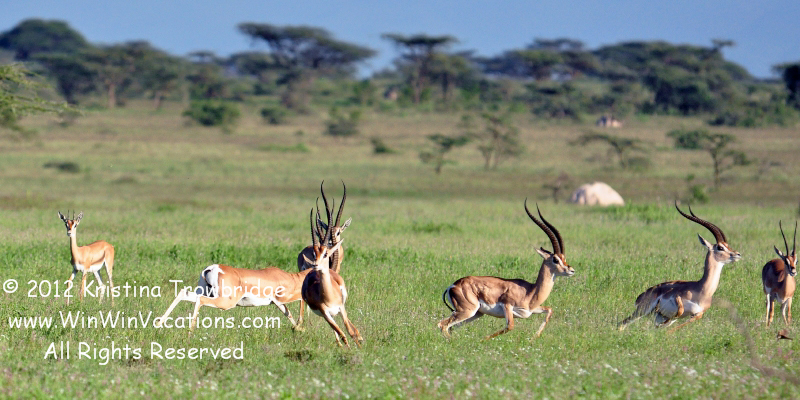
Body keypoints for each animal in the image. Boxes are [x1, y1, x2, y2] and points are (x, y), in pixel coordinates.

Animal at [154, 210, 324, 331]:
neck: (291, 278)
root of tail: (211, 268)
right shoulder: (285, 298)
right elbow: (300, 301)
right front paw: (301, 326)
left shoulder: (279, 303)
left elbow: (288, 314)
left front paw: (299, 329)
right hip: (224, 301)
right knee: (200, 300)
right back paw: (190, 332)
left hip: (204, 291)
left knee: (185, 293)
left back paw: (159, 323)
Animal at [301, 205, 363, 348]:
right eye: (314, 254)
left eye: (325, 253)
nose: (315, 265)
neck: (328, 297)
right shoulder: (326, 314)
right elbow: (341, 333)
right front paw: (347, 348)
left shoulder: (341, 308)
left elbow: (349, 330)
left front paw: (358, 345)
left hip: (343, 303)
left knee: (350, 325)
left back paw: (360, 336)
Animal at [438, 200, 575, 340]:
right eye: (555, 260)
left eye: (564, 258)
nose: (571, 270)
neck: (530, 292)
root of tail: (452, 286)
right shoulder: (507, 306)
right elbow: (510, 326)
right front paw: (483, 340)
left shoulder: (530, 310)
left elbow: (549, 310)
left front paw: (533, 338)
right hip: (467, 311)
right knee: (442, 324)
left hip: (475, 313)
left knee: (451, 327)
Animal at [618, 202, 742, 332]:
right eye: (720, 247)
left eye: (727, 245)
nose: (738, 254)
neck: (702, 290)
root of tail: (642, 295)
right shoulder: (677, 298)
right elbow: (679, 309)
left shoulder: (697, 314)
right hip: (642, 311)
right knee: (621, 324)